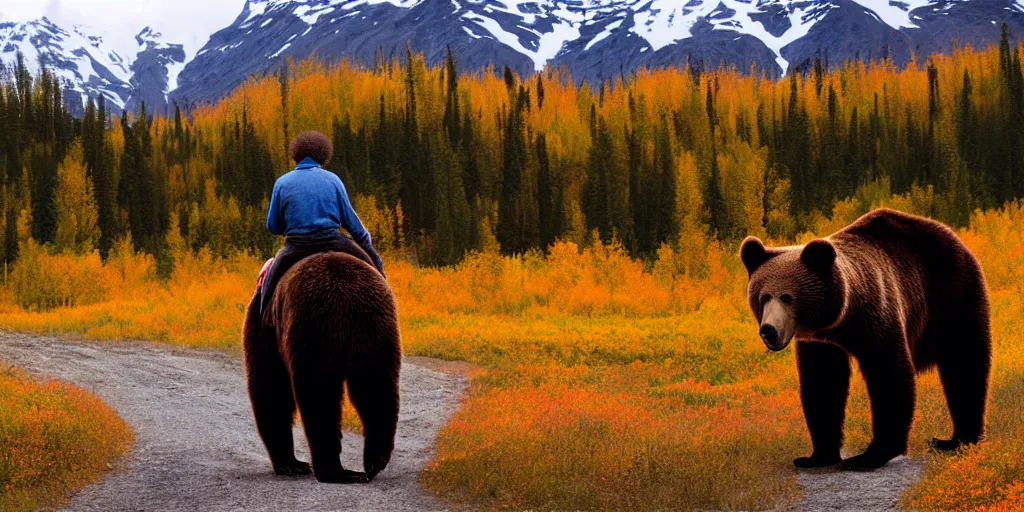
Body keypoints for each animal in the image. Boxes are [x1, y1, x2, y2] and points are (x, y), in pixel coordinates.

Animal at [745, 208, 991, 471]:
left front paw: (869, 455)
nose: (768, 330)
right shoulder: (820, 344)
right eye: (763, 297)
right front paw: (817, 456)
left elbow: (889, 375)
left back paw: (959, 440)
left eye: (787, 297)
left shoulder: (876, 316)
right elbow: (823, 384)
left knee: (964, 362)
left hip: (953, 294)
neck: (840, 319)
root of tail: (951, 234)